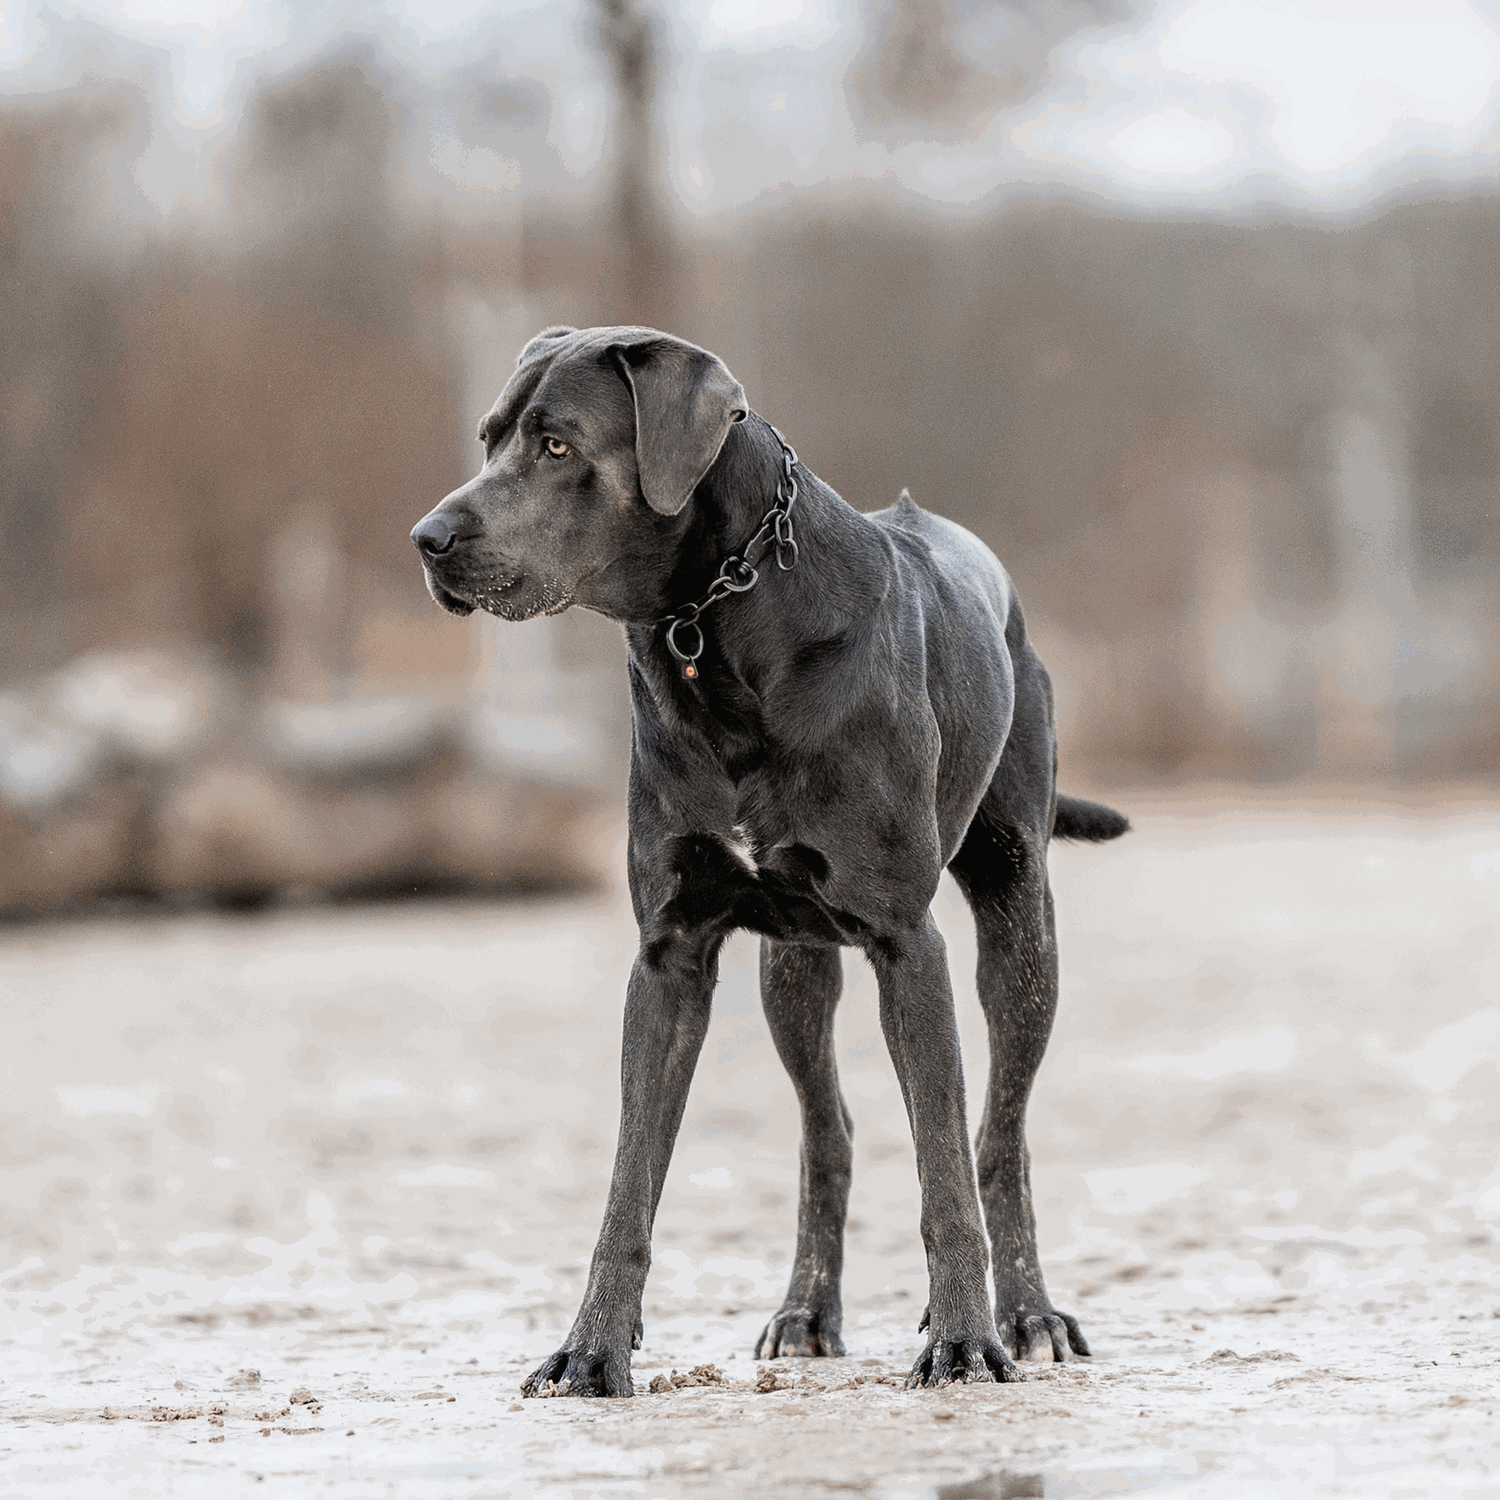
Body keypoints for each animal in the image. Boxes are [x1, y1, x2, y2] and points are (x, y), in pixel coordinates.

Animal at [411, 325, 1128, 1392]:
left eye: (556, 445)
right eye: (489, 436)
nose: (429, 539)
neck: (715, 627)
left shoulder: (906, 941)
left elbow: (944, 1170)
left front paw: (964, 1341)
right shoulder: (670, 953)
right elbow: (630, 1179)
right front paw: (591, 1349)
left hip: (1017, 920)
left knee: (997, 1135)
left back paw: (1028, 1315)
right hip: (793, 964)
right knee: (828, 1134)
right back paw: (806, 1311)